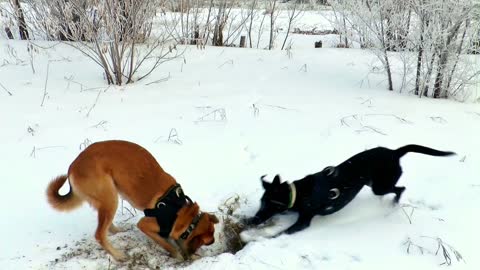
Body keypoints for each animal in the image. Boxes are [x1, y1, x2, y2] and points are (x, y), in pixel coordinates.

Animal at [46, 140, 218, 260]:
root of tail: (73, 166)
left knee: (105, 226)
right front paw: (178, 254)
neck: (178, 210)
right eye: (207, 242)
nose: (191, 256)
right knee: (99, 234)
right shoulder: (145, 224)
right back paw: (118, 256)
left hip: (108, 198)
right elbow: (167, 244)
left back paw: (117, 231)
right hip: (110, 197)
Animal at [249, 143, 456, 234]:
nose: (253, 220)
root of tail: (395, 152)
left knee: (400, 188)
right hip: (374, 184)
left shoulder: (304, 222)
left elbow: (282, 233)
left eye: (272, 202)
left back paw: (392, 204)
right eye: (261, 201)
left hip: (380, 185)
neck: (298, 193)